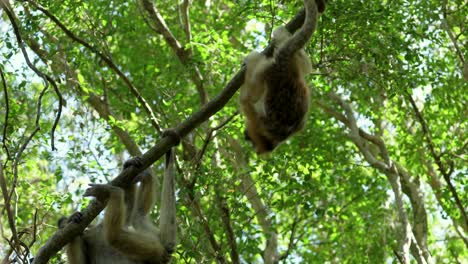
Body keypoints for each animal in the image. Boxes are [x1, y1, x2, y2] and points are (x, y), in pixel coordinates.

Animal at [239, 0, 324, 154]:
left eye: (252, 143)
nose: (255, 150)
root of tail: (283, 66)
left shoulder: (258, 120)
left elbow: (245, 100)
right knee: (306, 64)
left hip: (267, 70)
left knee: (255, 66)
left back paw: (249, 60)